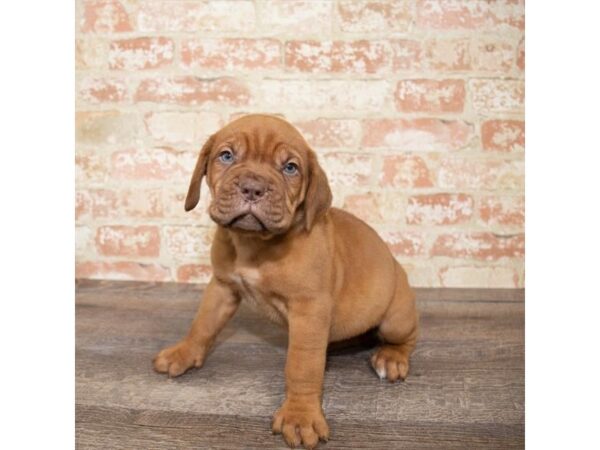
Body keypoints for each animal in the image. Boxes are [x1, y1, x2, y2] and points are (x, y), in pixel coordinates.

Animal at [154, 114, 418, 448]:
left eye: (290, 168)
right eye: (226, 156)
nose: (252, 188)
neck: (255, 244)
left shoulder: (309, 308)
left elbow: (302, 365)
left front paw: (300, 415)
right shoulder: (222, 286)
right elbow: (203, 324)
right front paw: (184, 353)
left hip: (396, 318)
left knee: (406, 337)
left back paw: (392, 358)